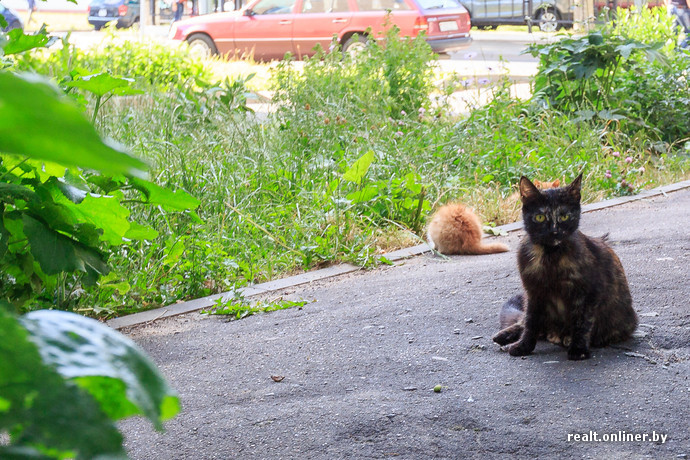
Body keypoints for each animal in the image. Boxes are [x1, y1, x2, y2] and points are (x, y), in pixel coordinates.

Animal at [492, 174, 636, 362]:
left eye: (564, 217)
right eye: (540, 217)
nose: (554, 231)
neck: (550, 256)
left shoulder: (589, 292)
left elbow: (582, 322)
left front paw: (578, 349)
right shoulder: (534, 293)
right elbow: (531, 322)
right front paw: (523, 346)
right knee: (522, 321)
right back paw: (504, 336)